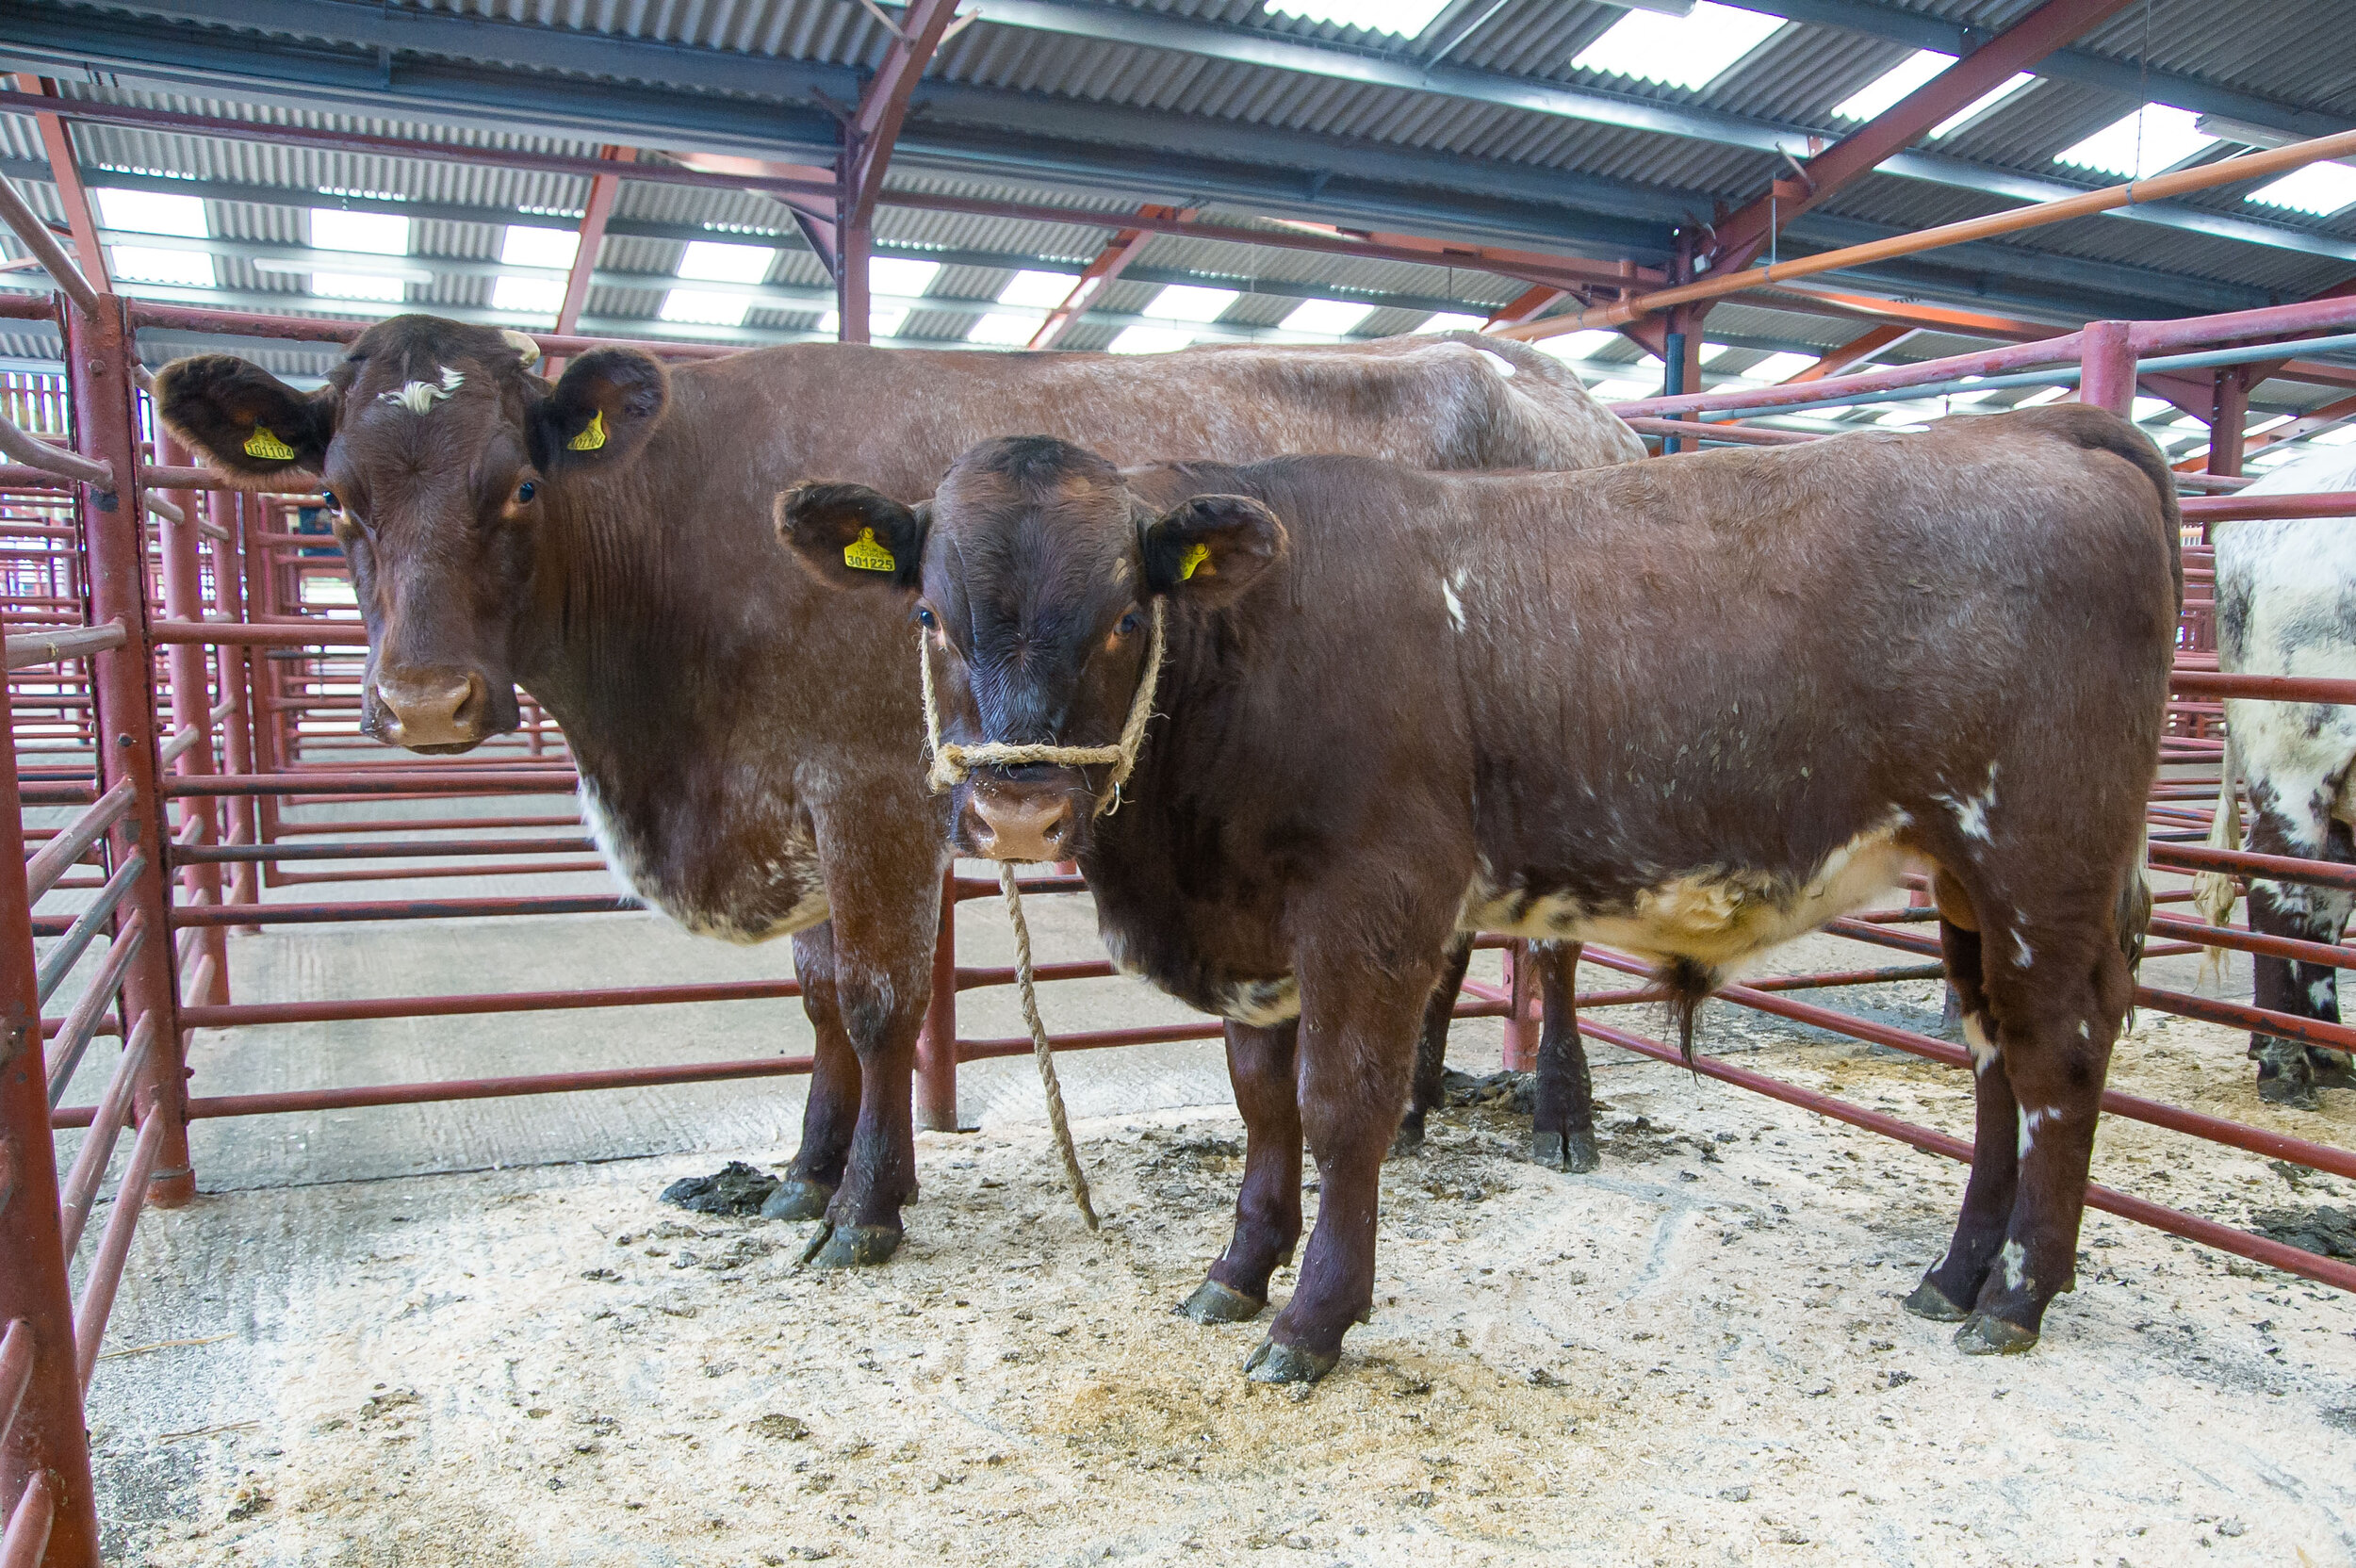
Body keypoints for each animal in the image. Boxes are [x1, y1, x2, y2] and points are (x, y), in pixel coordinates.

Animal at [152, 310, 1640, 1262]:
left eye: (519, 485)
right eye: (332, 500)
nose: (424, 700)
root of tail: (1556, 383)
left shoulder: (869, 796)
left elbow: (875, 1006)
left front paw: (865, 1209)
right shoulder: (799, 807)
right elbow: (818, 1003)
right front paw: (805, 1176)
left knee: (1555, 949)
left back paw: (1560, 1114)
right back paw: (1426, 1104)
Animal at [782, 404, 2177, 1384]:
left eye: (1128, 614)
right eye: (927, 614)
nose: (1015, 809)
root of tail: (2037, 426)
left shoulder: (1376, 901)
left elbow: (1342, 1104)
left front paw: (1314, 1318)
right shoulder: (1254, 928)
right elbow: (1259, 1100)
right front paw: (1238, 1266)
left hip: (2040, 859)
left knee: (2059, 1056)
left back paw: (2017, 1294)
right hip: (1969, 881)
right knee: (1996, 1059)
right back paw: (1956, 1270)